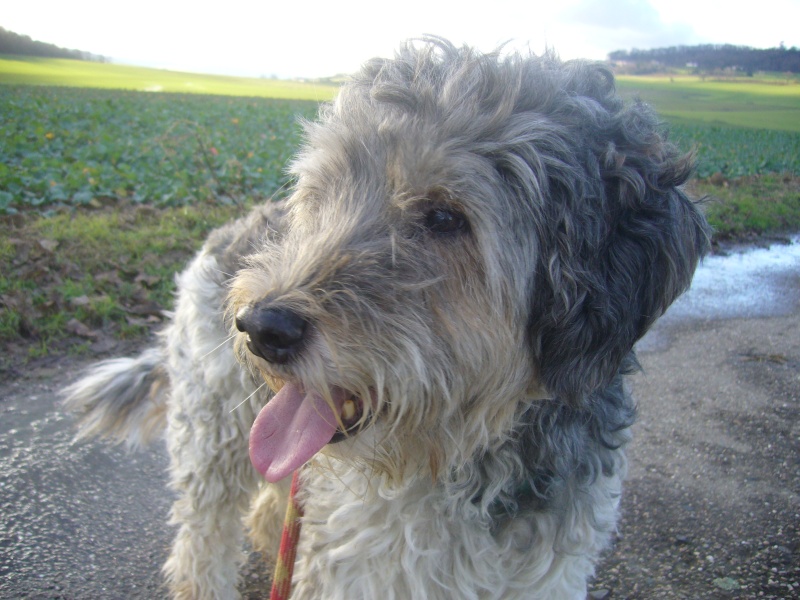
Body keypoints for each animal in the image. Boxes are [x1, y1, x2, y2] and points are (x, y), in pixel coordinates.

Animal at [65, 38, 708, 600]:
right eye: (324, 193)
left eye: (446, 217)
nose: (261, 327)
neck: (474, 459)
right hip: (214, 430)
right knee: (203, 536)